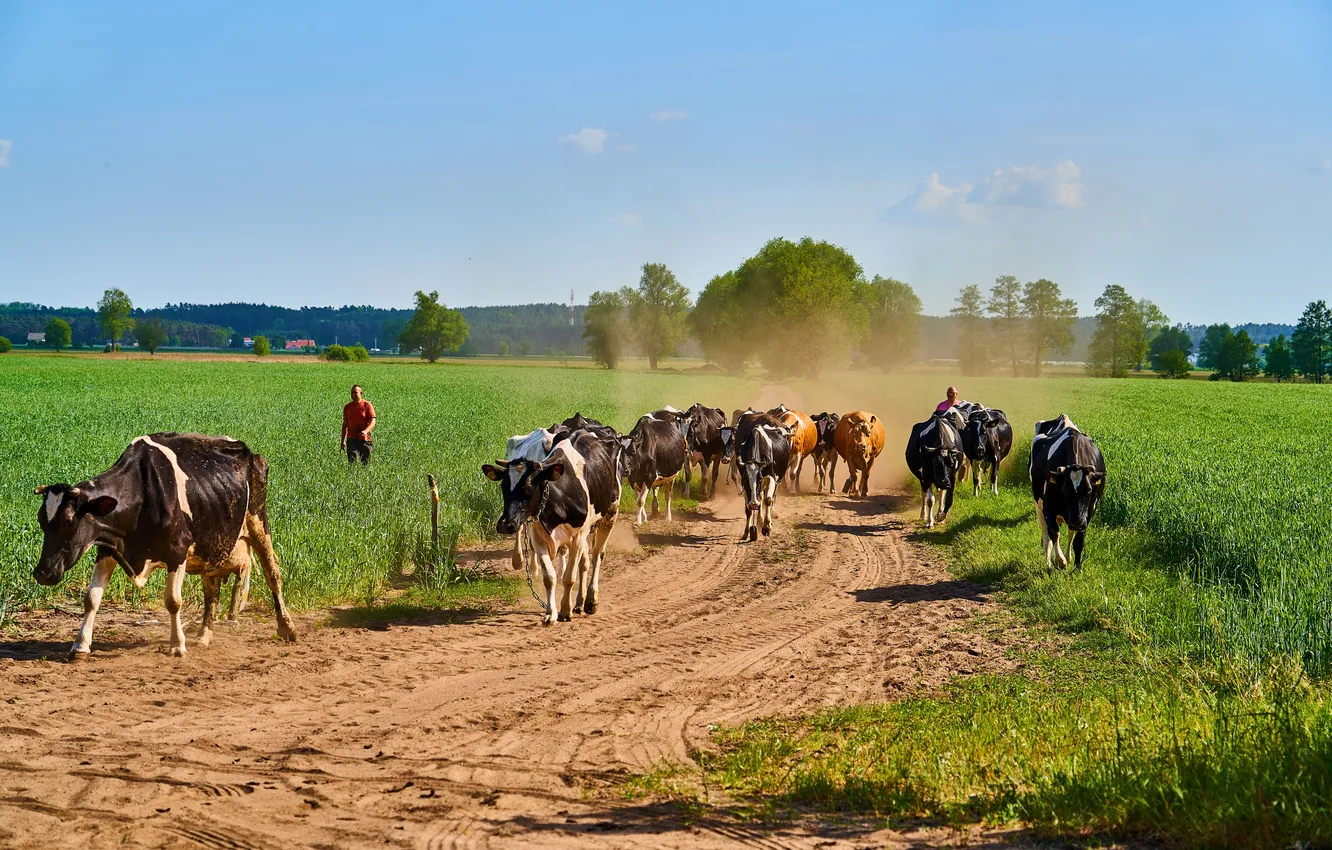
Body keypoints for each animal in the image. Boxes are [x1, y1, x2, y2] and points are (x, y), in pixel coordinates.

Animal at [33, 433, 297, 660]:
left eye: (68, 521)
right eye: (41, 520)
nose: (43, 573)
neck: (141, 493)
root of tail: (250, 451)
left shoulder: (178, 552)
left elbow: (173, 601)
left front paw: (177, 645)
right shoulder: (108, 548)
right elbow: (91, 598)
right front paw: (80, 646)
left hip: (257, 520)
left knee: (272, 572)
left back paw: (287, 628)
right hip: (212, 543)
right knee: (211, 589)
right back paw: (204, 635)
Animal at [482, 429, 621, 623]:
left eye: (528, 487)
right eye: (503, 486)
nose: (505, 525)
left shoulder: (577, 537)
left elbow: (568, 577)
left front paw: (565, 610)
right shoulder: (539, 537)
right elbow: (550, 577)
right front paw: (550, 613)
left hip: (610, 514)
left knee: (596, 556)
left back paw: (591, 600)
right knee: (585, 562)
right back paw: (580, 602)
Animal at [733, 412, 792, 542]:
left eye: (759, 478)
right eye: (745, 480)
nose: (754, 504)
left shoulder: (771, 477)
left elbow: (768, 500)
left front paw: (767, 527)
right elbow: (748, 508)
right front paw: (747, 532)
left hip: (778, 479)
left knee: (770, 497)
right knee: (760, 497)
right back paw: (759, 518)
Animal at [1029, 415, 1106, 570]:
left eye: (1089, 491)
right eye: (1064, 490)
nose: (1077, 522)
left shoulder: (1089, 511)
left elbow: (1079, 539)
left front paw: (1076, 566)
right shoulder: (1048, 507)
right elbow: (1053, 533)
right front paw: (1060, 561)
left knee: (1070, 533)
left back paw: (1068, 556)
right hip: (1038, 504)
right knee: (1046, 538)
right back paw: (1048, 563)